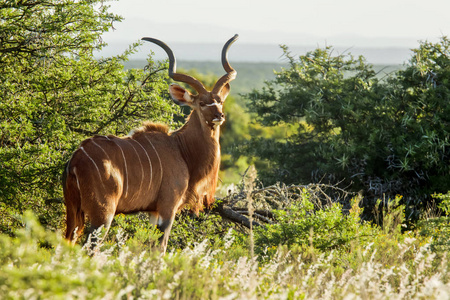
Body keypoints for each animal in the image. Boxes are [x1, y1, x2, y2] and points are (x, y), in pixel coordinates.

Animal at [64, 34, 239, 252]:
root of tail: (75, 160)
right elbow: (160, 248)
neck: (181, 149)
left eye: (220, 101)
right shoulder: (167, 208)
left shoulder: (153, 212)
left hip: (72, 213)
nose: (219, 116)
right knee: (90, 249)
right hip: (102, 215)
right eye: (201, 103)